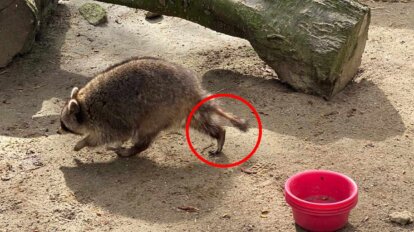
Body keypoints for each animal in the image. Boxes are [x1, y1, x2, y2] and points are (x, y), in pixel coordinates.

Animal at [60, 56, 249, 157]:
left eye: (64, 124)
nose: (59, 130)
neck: (83, 105)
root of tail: (193, 90)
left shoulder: (108, 118)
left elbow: (111, 134)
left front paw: (84, 142)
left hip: (159, 110)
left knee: (144, 134)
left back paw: (133, 149)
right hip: (182, 109)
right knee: (200, 122)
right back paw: (219, 134)